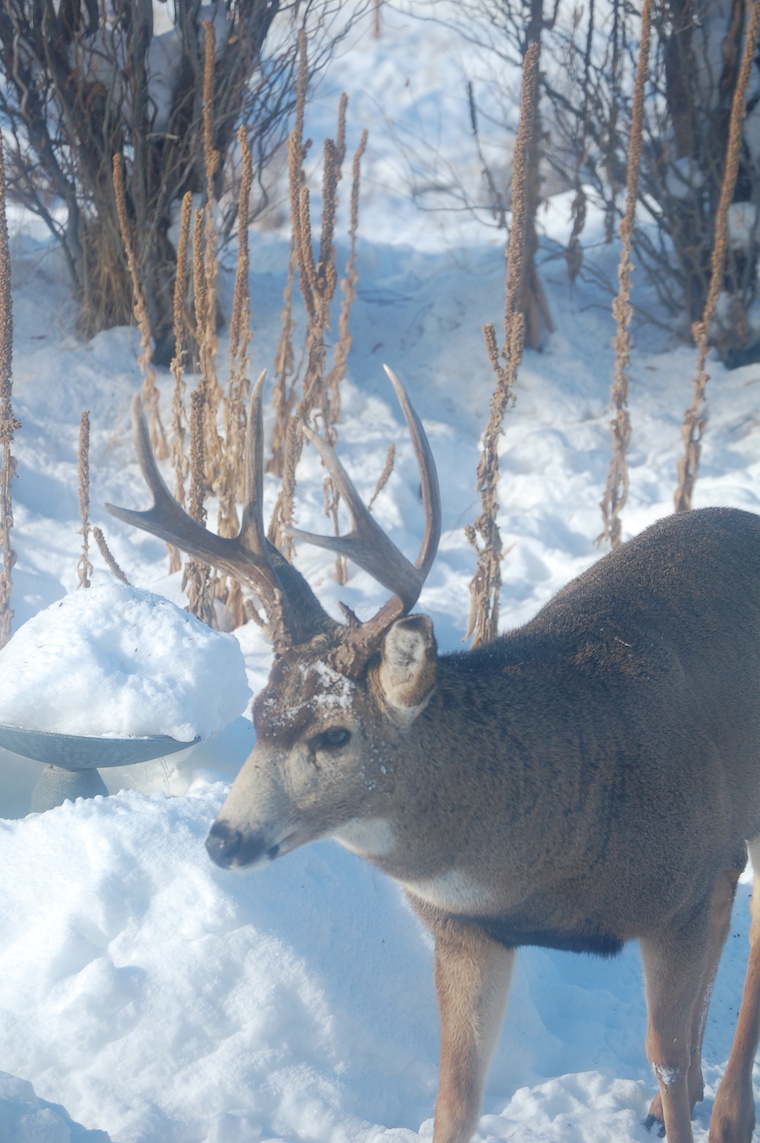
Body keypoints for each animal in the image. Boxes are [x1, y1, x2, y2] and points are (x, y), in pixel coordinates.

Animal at [106, 367, 760, 1143]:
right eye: (258, 715)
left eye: (335, 734)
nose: (223, 838)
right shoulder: (467, 931)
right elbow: (454, 1097)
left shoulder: (676, 892)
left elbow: (661, 1050)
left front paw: (681, 1105)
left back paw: (726, 1111)